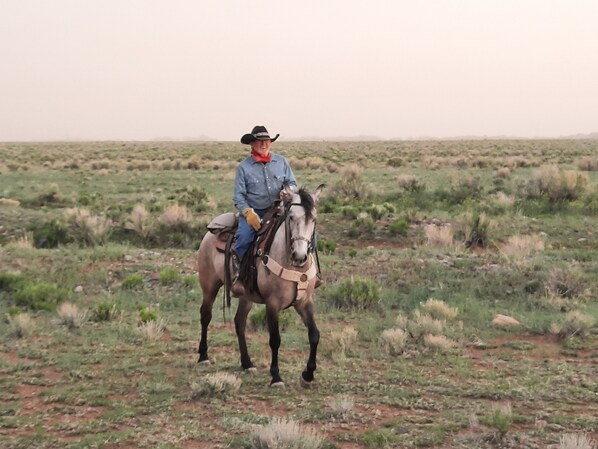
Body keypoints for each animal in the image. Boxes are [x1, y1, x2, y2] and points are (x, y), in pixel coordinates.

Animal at [198, 184, 326, 386]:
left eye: (313, 218)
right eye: (291, 217)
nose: (300, 256)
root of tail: (210, 232)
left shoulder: (304, 302)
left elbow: (314, 335)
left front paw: (308, 374)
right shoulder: (272, 304)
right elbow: (275, 339)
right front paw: (276, 377)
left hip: (246, 296)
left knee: (239, 322)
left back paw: (247, 363)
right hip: (209, 285)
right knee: (205, 315)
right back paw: (203, 356)